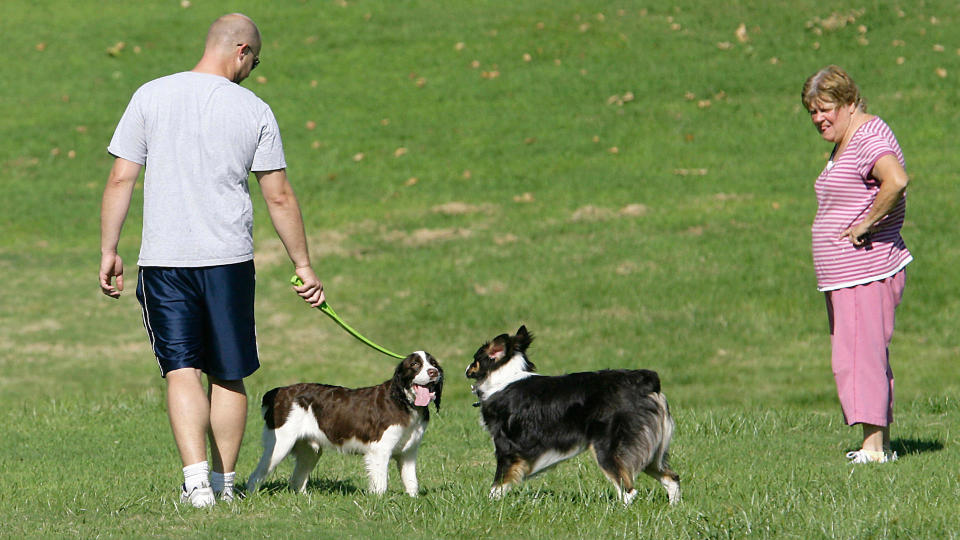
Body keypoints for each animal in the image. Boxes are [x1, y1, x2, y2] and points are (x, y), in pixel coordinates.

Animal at [246, 350, 444, 498]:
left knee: (297, 480)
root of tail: (277, 392)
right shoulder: (379, 451)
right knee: (256, 475)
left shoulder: (409, 453)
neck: (404, 402)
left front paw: (413, 500)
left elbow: (412, 482)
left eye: (433, 363)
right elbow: (380, 483)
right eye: (415, 365)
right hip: (280, 444)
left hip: (310, 449)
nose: (434, 372)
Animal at [466, 324, 684, 506]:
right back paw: (673, 508)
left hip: (608, 447)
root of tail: (646, 382)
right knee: (671, 478)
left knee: (628, 490)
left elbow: (498, 483)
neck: (505, 378)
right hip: (650, 450)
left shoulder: (507, 448)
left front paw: (490, 505)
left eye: (474, 360)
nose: (466, 369)